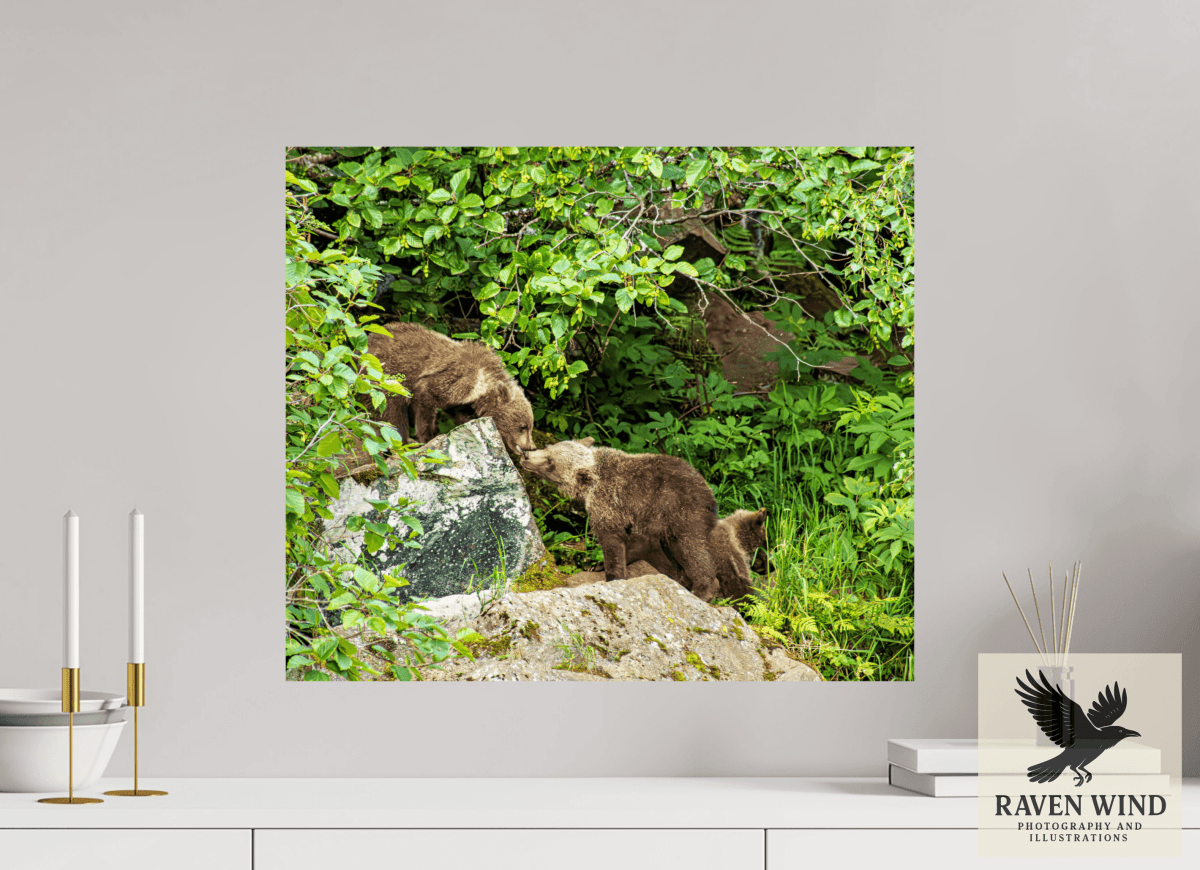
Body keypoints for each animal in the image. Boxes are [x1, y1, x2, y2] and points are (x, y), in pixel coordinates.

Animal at [367, 321, 536, 455]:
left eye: (530, 425)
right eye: (522, 426)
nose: (531, 447)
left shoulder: (459, 399)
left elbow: (456, 411)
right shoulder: (449, 381)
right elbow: (425, 406)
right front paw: (427, 438)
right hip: (385, 377)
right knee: (391, 413)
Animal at [519, 437, 722, 602]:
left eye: (551, 462)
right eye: (548, 447)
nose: (526, 455)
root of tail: (709, 494)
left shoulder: (608, 504)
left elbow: (612, 542)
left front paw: (612, 575)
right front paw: (598, 565)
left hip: (680, 512)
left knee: (693, 549)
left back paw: (703, 589)